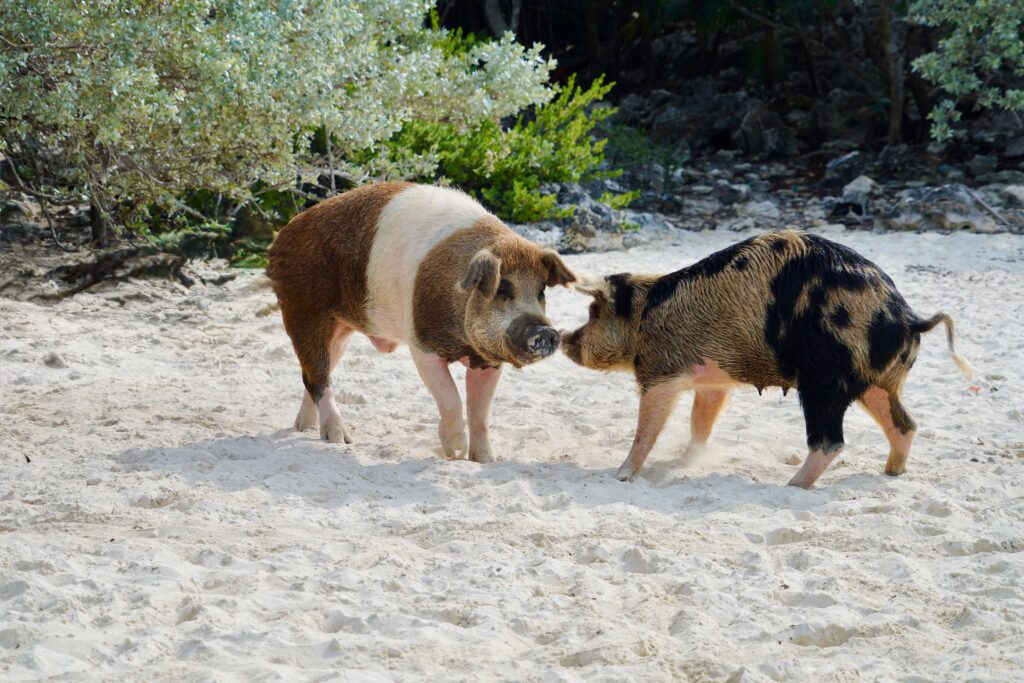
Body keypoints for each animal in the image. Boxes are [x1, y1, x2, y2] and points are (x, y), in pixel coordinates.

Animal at [266, 182, 575, 462]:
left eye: (541, 291)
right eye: (502, 289)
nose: (546, 331)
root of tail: (282, 235)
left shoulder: (488, 359)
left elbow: (480, 413)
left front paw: (485, 461)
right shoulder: (423, 345)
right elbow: (451, 399)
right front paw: (455, 451)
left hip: (340, 328)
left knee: (314, 373)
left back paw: (304, 428)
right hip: (303, 310)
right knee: (318, 377)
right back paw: (339, 440)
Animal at [560, 230, 972, 488]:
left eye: (593, 313)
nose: (564, 338)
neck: (644, 316)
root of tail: (908, 317)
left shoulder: (661, 371)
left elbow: (647, 429)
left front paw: (621, 475)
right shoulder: (714, 379)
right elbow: (700, 423)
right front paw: (684, 460)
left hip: (823, 380)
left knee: (831, 441)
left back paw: (791, 485)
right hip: (875, 380)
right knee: (906, 423)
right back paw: (892, 473)